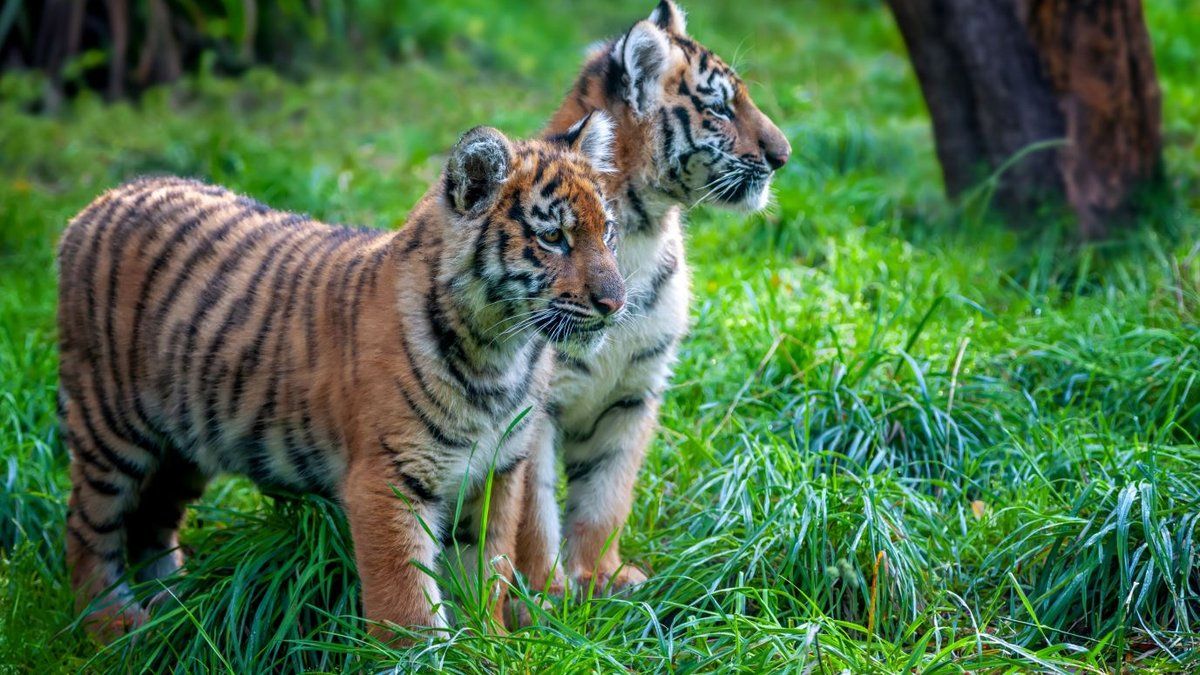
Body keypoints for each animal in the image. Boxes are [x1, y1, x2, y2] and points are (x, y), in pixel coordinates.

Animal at [56, 112, 623, 640]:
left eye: (608, 233)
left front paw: (488, 643)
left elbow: (486, 571)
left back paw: (173, 606)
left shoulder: (499, 472)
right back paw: (112, 622)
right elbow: (407, 603)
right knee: (87, 527)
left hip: (187, 441)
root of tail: (98, 202)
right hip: (111, 425)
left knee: (153, 519)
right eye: (553, 237)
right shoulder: (388, 477)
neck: (501, 352)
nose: (617, 303)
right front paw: (427, 656)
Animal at [514, 0, 791, 596]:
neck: (643, 229)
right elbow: (531, 513)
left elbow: (607, 495)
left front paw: (604, 579)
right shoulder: (532, 404)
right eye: (720, 109)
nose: (783, 156)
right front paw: (543, 598)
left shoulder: (634, 392)